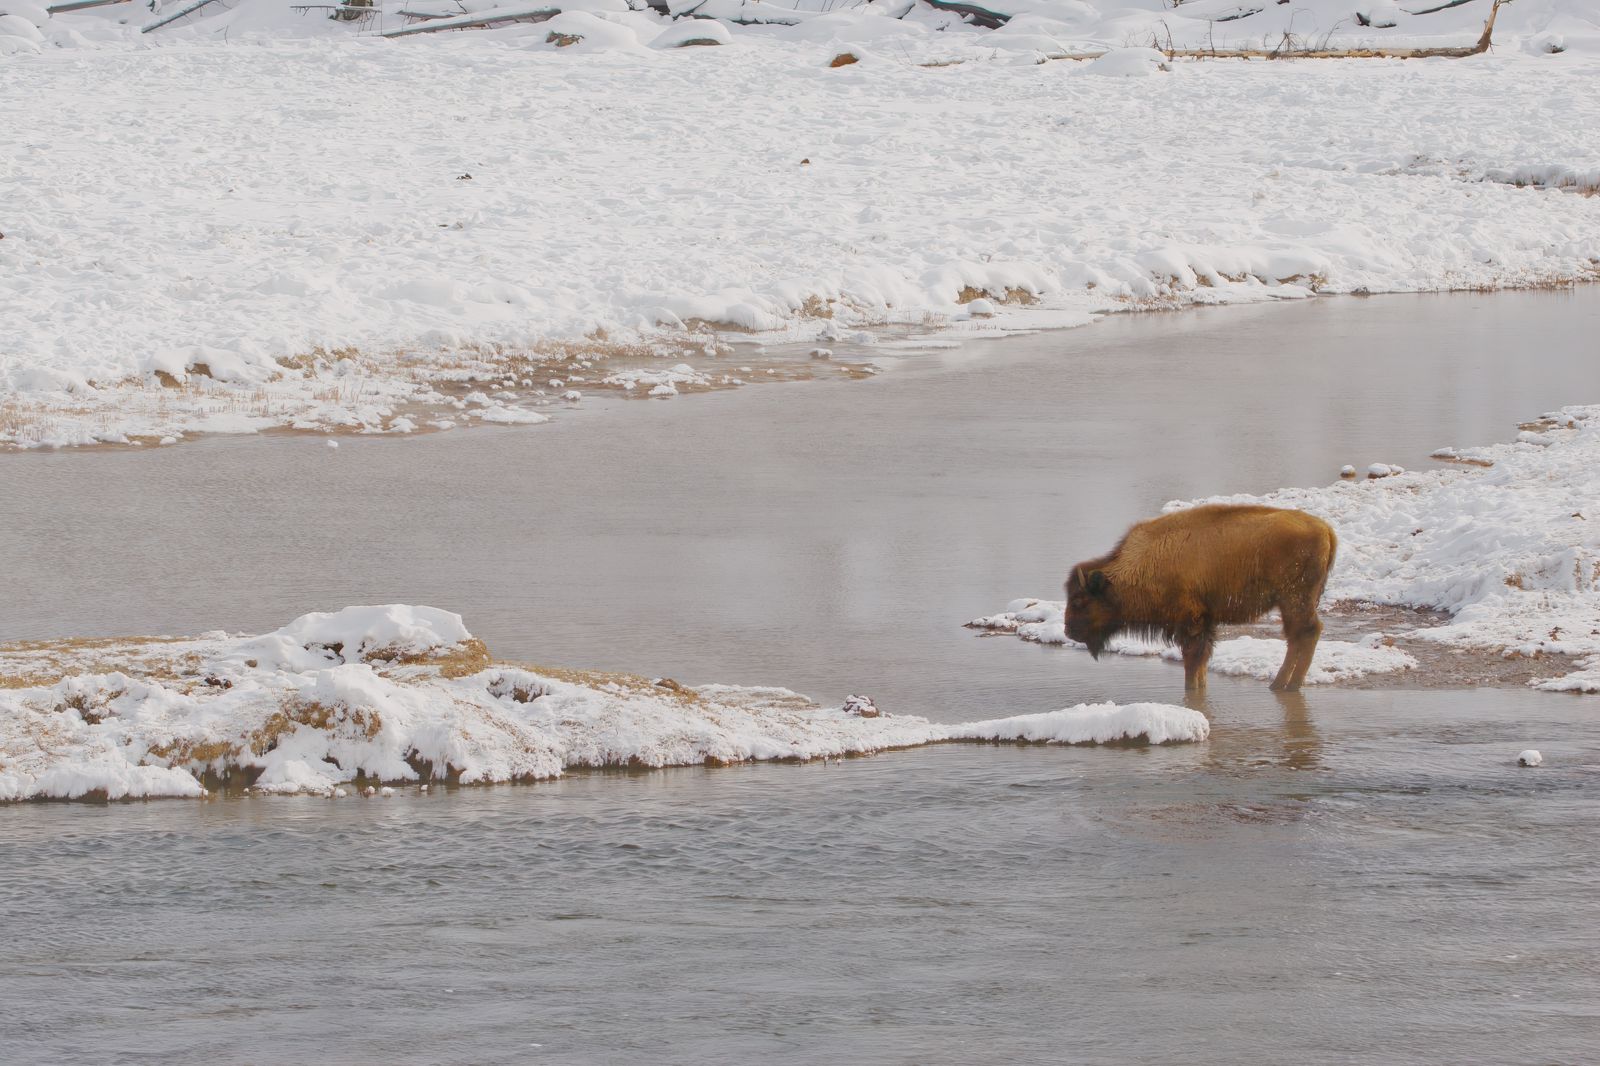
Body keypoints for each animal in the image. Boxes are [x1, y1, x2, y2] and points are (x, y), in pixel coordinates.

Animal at [1065, 504, 1338, 693]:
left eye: (1078, 601)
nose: (1068, 631)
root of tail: (1325, 529)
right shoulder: (1206, 622)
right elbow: (1202, 659)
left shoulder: (1190, 621)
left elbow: (1192, 660)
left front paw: (1191, 692)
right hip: (1296, 602)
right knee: (1298, 637)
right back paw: (1282, 685)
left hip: (1294, 600)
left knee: (1305, 634)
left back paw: (1286, 686)